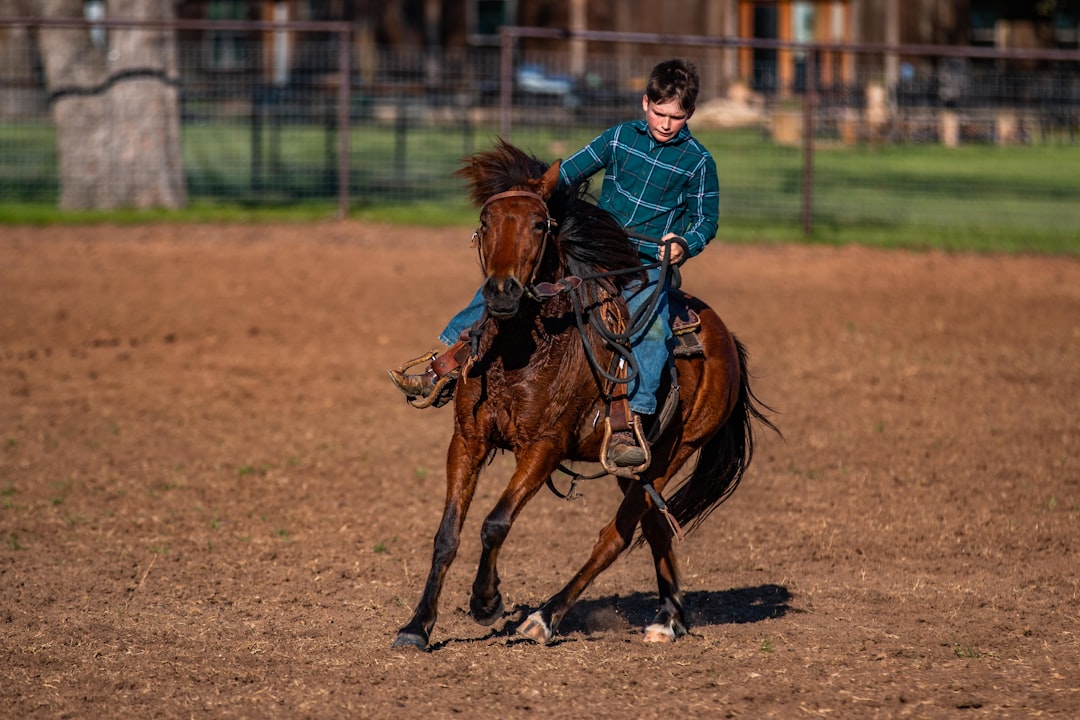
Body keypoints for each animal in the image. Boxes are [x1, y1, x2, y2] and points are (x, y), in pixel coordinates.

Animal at [395, 139, 777, 647]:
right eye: (485, 221)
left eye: (539, 224)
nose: (502, 293)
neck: (522, 351)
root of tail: (726, 340)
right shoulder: (467, 440)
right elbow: (446, 535)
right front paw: (416, 626)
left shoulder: (544, 448)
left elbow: (495, 523)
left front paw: (486, 602)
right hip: (634, 467)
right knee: (654, 527)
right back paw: (667, 617)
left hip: (672, 453)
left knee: (616, 535)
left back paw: (544, 617)